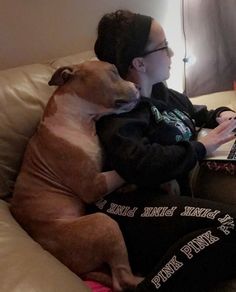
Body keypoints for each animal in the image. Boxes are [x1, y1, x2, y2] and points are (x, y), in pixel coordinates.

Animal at [10, 60, 141, 290]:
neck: (78, 119)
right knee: (121, 279)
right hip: (103, 223)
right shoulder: (93, 184)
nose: (138, 86)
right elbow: (120, 172)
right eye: (114, 72)